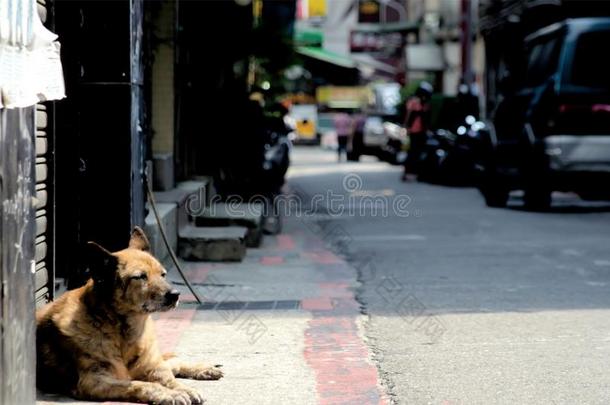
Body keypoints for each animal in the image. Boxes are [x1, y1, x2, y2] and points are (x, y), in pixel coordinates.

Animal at [35, 227, 222, 404]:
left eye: (163, 274)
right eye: (140, 277)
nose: (175, 295)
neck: (125, 332)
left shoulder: (153, 368)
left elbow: (170, 380)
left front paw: (183, 389)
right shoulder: (95, 381)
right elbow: (143, 384)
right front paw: (168, 394)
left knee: (171, 362)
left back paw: (204, 369)